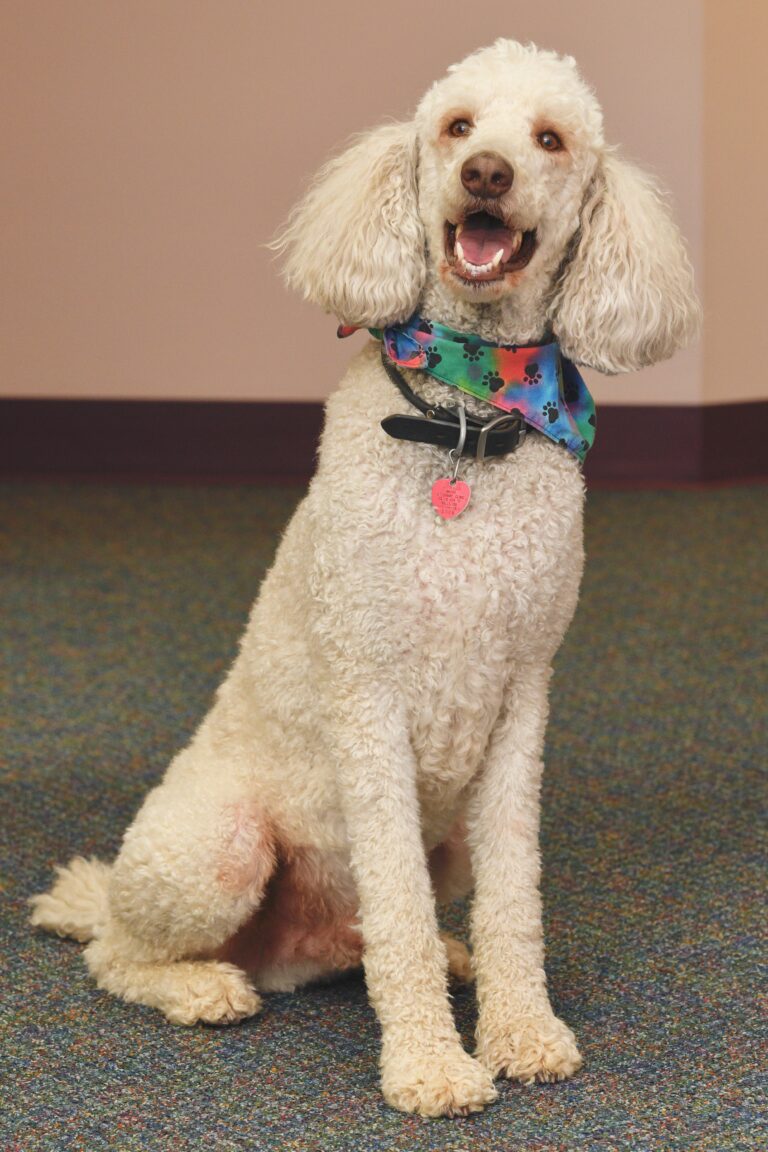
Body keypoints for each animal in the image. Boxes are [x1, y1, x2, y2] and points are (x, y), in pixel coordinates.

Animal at [33, 42, 700, 1115]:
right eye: (458, 128)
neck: (466, 412)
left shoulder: (522, 703)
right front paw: (431, 1066)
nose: (487, 175)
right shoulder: (368, 699)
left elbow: (514, 899)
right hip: (215, 848)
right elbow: (396, 900)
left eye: (550, 139)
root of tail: (280, 954)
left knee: (372, 936)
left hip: (447, 837)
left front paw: (520, 1029)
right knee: (119, 953)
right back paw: (203, 987)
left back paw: (442, 957)